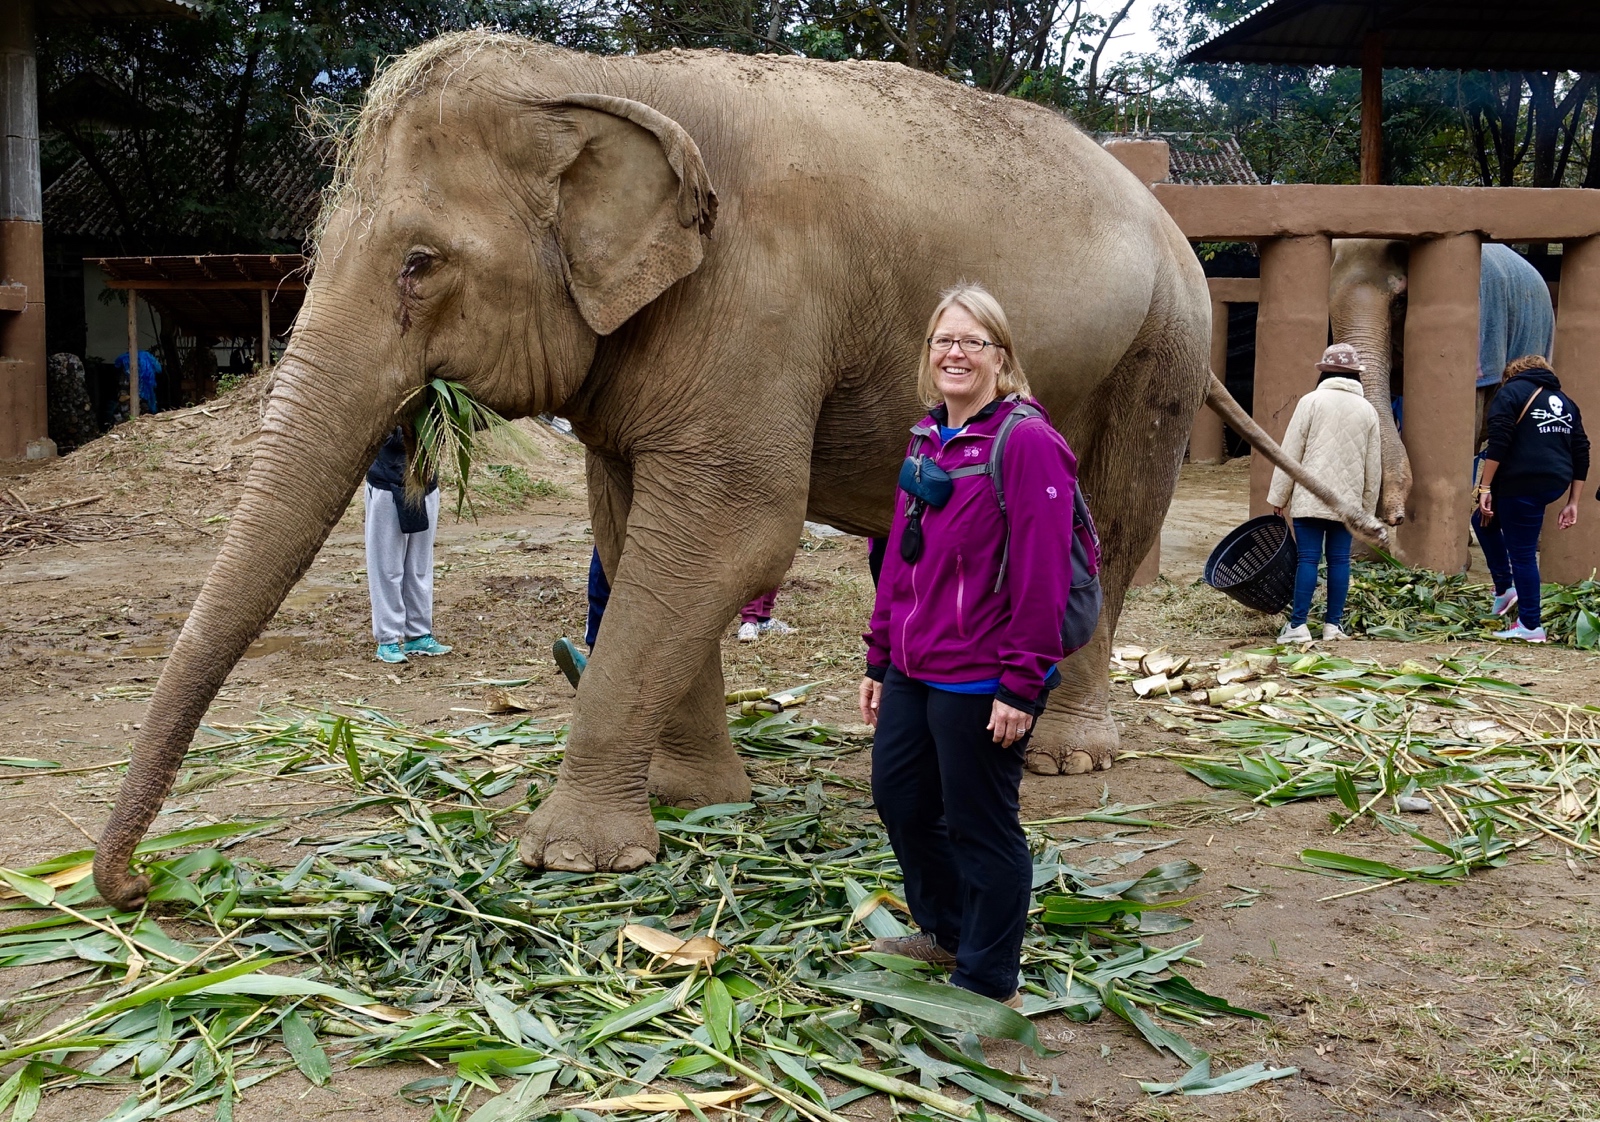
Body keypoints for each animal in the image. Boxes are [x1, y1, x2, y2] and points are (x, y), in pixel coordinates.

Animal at [90, 31, 1366, 908]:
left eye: (419, 262)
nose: (142, 885)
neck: (598, 79)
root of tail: (1167, 216)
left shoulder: (758, 298)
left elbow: (729, 532)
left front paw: (572, 859)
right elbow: (632, 534)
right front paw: (692, 798)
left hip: (1163, 346)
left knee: (1112, 518)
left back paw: (1060, 754)